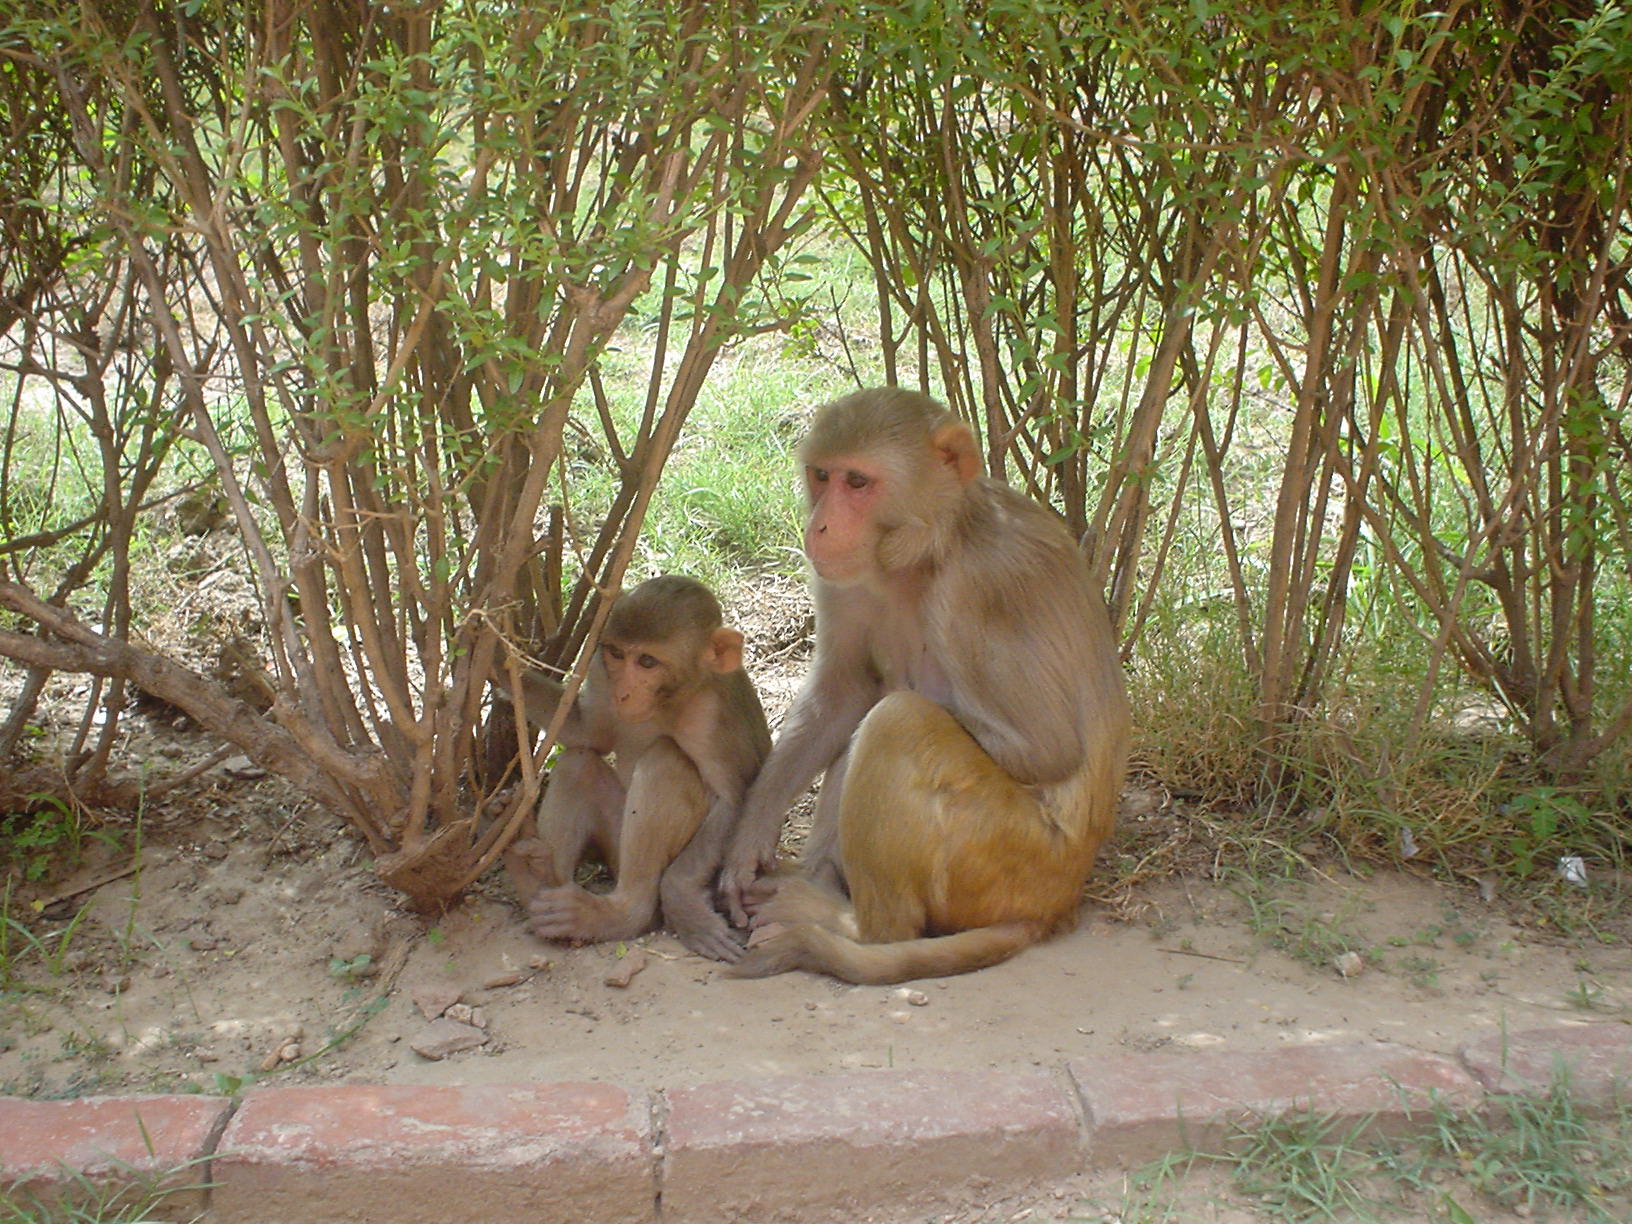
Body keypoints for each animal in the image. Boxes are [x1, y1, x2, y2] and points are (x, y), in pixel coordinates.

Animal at [503, 575, 770, 963]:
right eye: (617, 654)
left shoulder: (714, 715)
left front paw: (682, 901)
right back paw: (538, 880)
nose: (624, 693)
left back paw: (622, 913)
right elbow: (589, 734)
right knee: (580, 762)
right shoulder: (601, 671)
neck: (669, 700)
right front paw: (493, 659)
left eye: (647, 661)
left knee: (663, 758)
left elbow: (736, 800)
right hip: (614, 846)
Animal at [719, 387, 1130, 984]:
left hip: (1008, 855)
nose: (819, 526)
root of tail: (1058, 904)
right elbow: (845, 693)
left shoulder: (979, 588)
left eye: (858, 482)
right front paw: (748, 839)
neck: (932, 545)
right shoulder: (844, 578)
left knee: (897, 718)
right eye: (822, 475)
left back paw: (855, 926)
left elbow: (1046, 749)